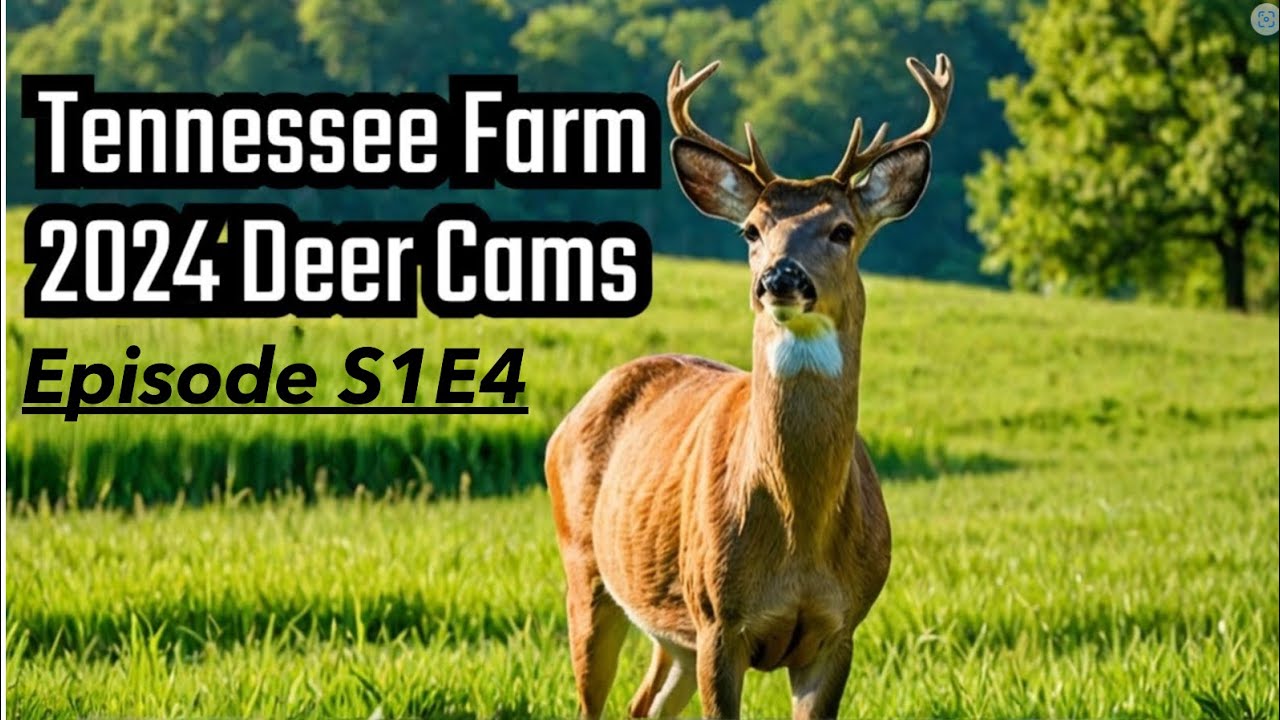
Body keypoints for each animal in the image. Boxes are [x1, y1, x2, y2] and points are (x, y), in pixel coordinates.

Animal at [545, 54, 953, 719]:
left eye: (843, 229)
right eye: (751, 231)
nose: (780, 277)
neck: (798, 534)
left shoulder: (839, 629)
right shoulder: (718, 622)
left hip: (672, 630)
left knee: (642, 704)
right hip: (586, 567)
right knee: (593, 700)